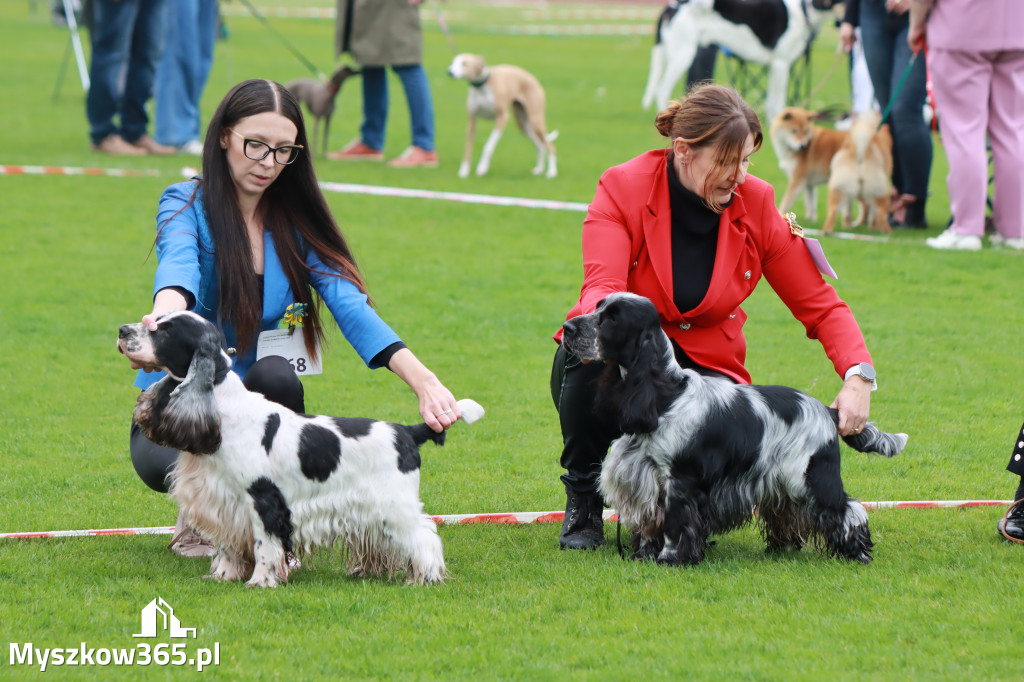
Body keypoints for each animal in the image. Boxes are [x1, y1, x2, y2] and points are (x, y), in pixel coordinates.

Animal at [116, 311, 483, 585]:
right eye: (156, 320)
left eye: (164, 331)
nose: (121, 330)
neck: (224, 407)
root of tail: (406, 431)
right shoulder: (227, 502)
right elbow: (231, 546)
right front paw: (223, 576)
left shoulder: (264, 499)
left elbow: (265, 546)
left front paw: (260, 582)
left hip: (395, 503)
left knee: (425, 534)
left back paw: (425, 578)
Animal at [565, 292, 909, 561]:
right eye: (597, 307)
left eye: (612, 319)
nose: (567, 328)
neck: (666, 396)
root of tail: (828, 411)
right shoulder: (645, 478)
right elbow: (650, 525)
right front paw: (644, 555)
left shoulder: (680, 481)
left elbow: (676, 524)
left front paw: (672, 559)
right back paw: (782, 548)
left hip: (812, 477)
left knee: (850, 510)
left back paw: (857, 553)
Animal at [643, 0, 835, 119]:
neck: (803, 10)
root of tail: (672, 7)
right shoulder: (780, 64)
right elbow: (777, 103)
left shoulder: (774, 68)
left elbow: (772, 102)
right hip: (684, 55)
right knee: (662, 89)